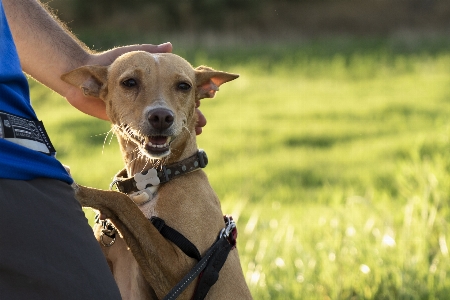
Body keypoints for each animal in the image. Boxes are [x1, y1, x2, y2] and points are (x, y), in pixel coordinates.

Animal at [62, 52, 253, 300]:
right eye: (130, 82)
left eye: (184, 86)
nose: (161, 116)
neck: (151, 180)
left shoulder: (185, 277)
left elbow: (123, 202)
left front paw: (81, 189)